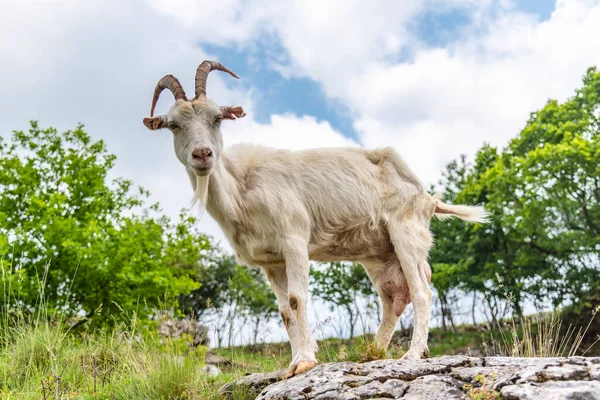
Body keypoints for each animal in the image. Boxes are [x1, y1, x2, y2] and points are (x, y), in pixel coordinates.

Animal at [142, 60, 488, 378]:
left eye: (217, 118)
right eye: (173, 125)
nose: (202, 154)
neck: (241, 189)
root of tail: (427, 196)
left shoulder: (294, 241)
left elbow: (296, 300)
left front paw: (306, 361)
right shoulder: (271, 262)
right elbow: (284, 310)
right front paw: (294, 364)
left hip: (407, 233)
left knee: (421, 291)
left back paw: (413, 354)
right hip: (379, 255)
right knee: (391, 301)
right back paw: (373, 353)